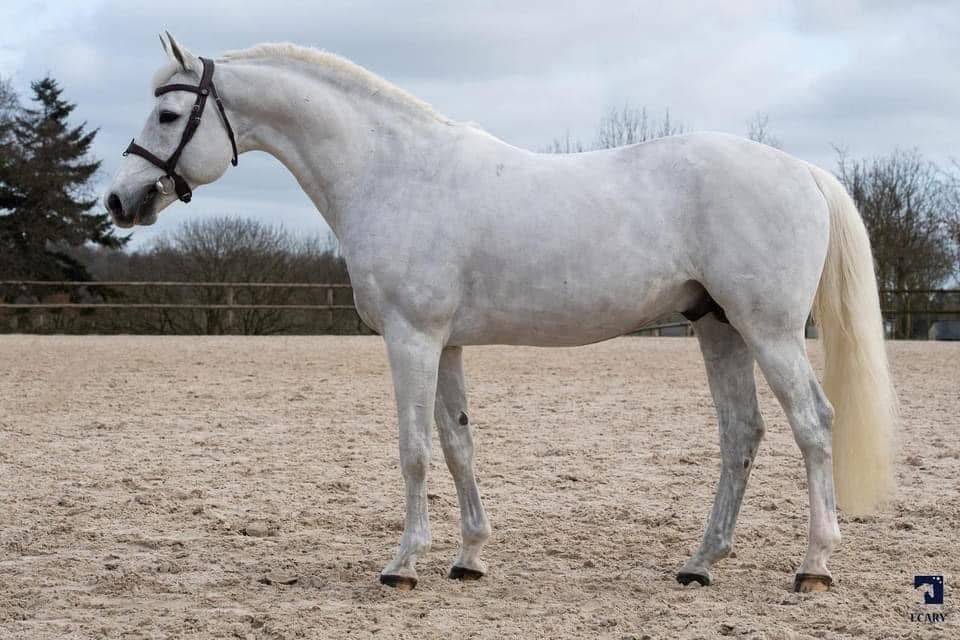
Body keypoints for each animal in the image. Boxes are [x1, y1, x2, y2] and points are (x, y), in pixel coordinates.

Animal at [105, 33, 897, 593]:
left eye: (169, 113)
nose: (120, 200)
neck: (394, 173)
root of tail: (801, 171)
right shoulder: (446, 344)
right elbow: (459, 445)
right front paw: (469, 558)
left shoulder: (412, 339)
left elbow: (414, 450)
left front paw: (403, 564)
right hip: (719, 327)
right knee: (741, 434)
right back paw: (701, 562)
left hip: (769, 330)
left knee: (813, 425)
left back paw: (814, 566)